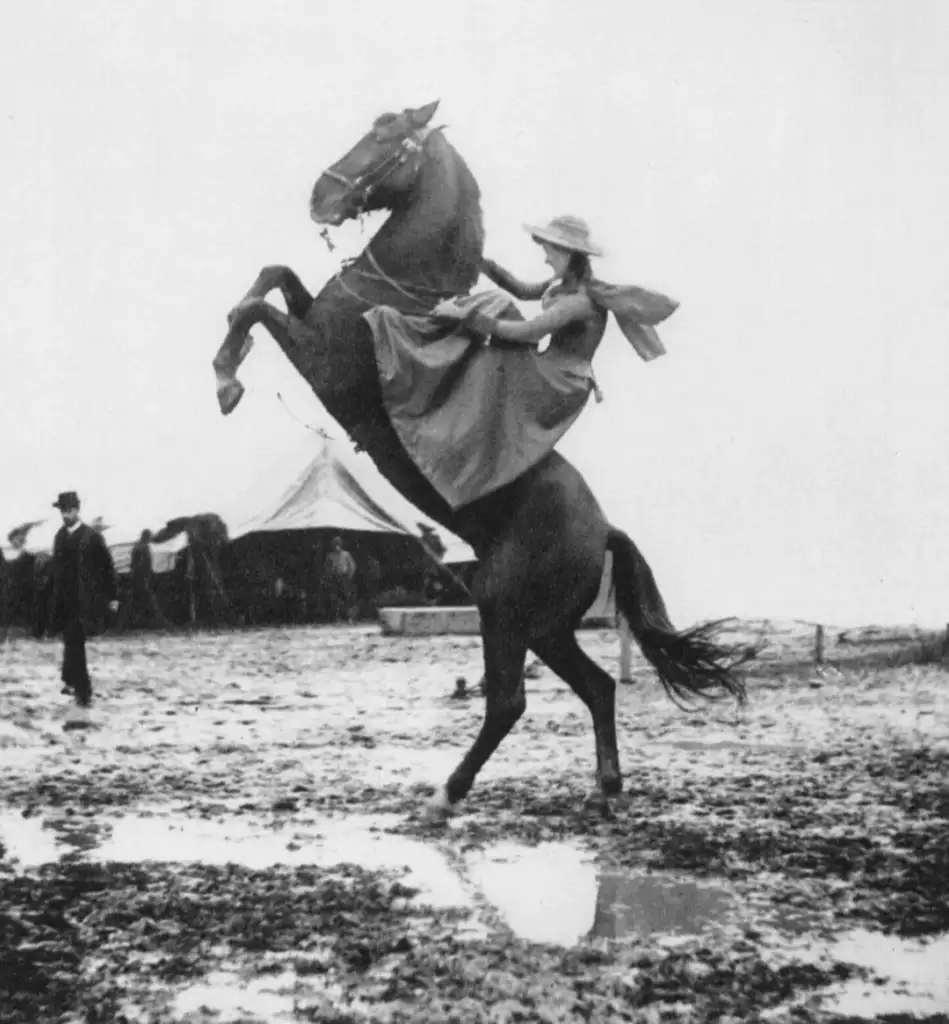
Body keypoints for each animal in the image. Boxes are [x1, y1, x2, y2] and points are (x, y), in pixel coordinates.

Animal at [209, 99, 749, 811]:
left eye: (385, 136)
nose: (320, 198)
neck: (399, 296)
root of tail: (604, 530)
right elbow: (275, 276)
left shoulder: (319, 359)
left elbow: (256, 307)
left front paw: (226, 379)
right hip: (546, 628)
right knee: (597, 685)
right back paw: (605, 787)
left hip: (504, 610)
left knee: (509, 702)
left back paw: (447, 795)